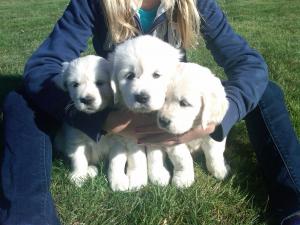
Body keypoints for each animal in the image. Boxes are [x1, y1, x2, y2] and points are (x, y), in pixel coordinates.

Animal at [54, 55, 112, 186]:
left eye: (100, 83)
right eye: (75, 84)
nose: (86, 99)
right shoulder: (76, 139)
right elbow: (78, 157)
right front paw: (79, 177)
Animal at [109, 34, 182, 190]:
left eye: (156, 75)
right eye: (130, 75)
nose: (142, 97)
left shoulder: (155, 134)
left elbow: (155, 154)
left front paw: (158, 175)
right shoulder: (130, 135)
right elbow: (137, 157)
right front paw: (137, 180)